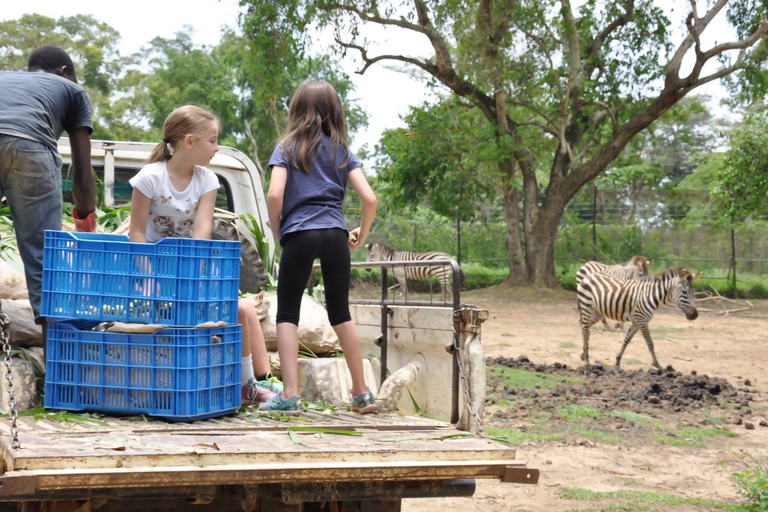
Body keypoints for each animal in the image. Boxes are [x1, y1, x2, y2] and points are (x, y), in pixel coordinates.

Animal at [576, 268, 704, 372]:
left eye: (694, 293)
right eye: (684, 292)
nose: (695, 315)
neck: (650, 296)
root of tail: (588, 276)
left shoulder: (636, 322)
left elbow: (626, 341)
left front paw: (617, 362)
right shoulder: (642, 321)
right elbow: (650, 343)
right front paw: (657, 365)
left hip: (597, 313)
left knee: (584, 326)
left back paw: (583, 353)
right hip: (586, 306)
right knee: (586, 330)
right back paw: (587, 360)